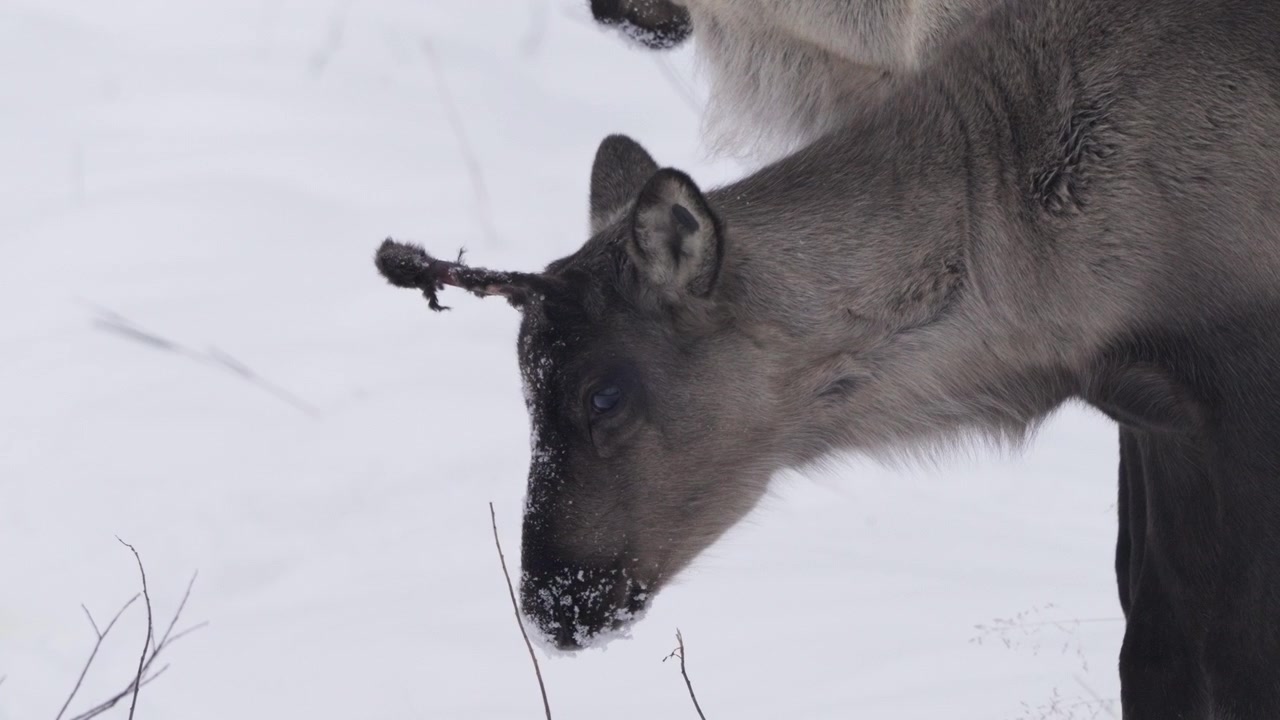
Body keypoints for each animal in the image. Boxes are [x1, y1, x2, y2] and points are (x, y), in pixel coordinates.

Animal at [376, 0, 1280, 716]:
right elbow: (1153, 648)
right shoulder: (1156, 418)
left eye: (604, 395)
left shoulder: (1232, 403)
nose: (550, 602)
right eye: (526, 392)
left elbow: (1225, 663)